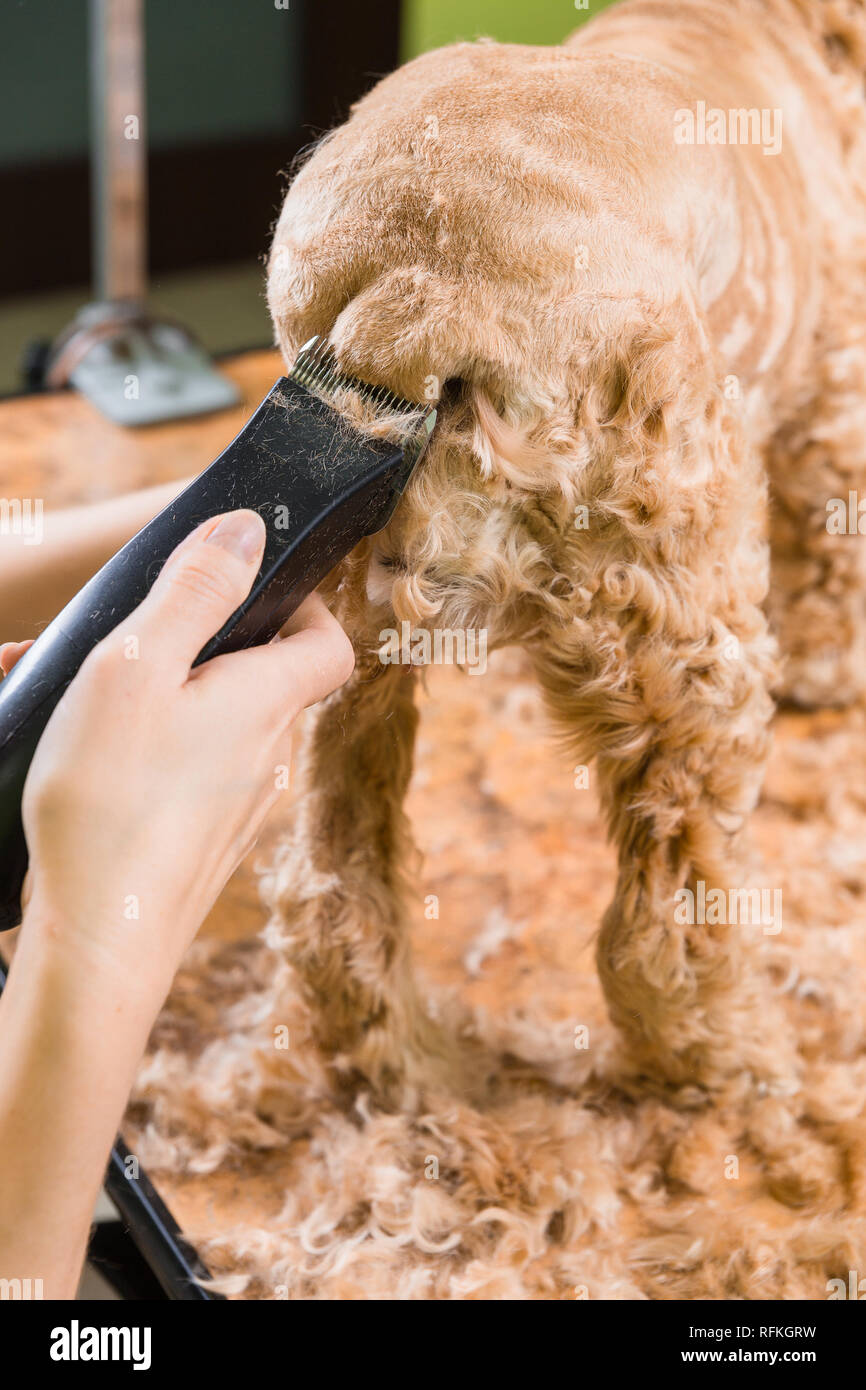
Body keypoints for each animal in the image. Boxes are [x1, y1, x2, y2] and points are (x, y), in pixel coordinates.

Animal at [261, 0, 866, 1106]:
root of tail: (417, 291)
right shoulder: (833, 395)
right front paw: (829, 672)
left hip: (334, 612)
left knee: (330, 881)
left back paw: (408, 1060)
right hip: (670, 607)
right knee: (664, 920)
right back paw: (732, 1060)